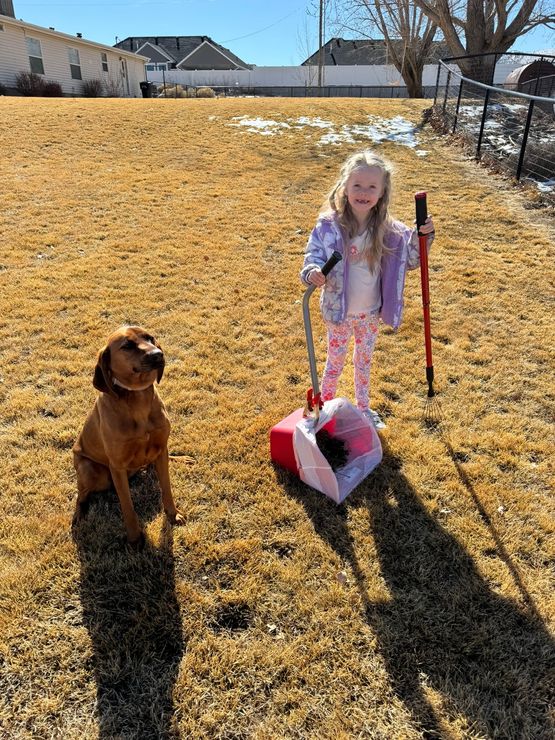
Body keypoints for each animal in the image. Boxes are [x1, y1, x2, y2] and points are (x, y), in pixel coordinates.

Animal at [70, 326, 185, 544]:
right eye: (127, 345)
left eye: (150, 338)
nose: (158, 354)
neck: (138, 399)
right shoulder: (117, 466)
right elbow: (127, 506)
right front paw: (135, 539)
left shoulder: (161, 449)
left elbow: (166, 487)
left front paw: (173, 514)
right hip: (90, 471)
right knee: (81, 495)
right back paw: (79, 516)